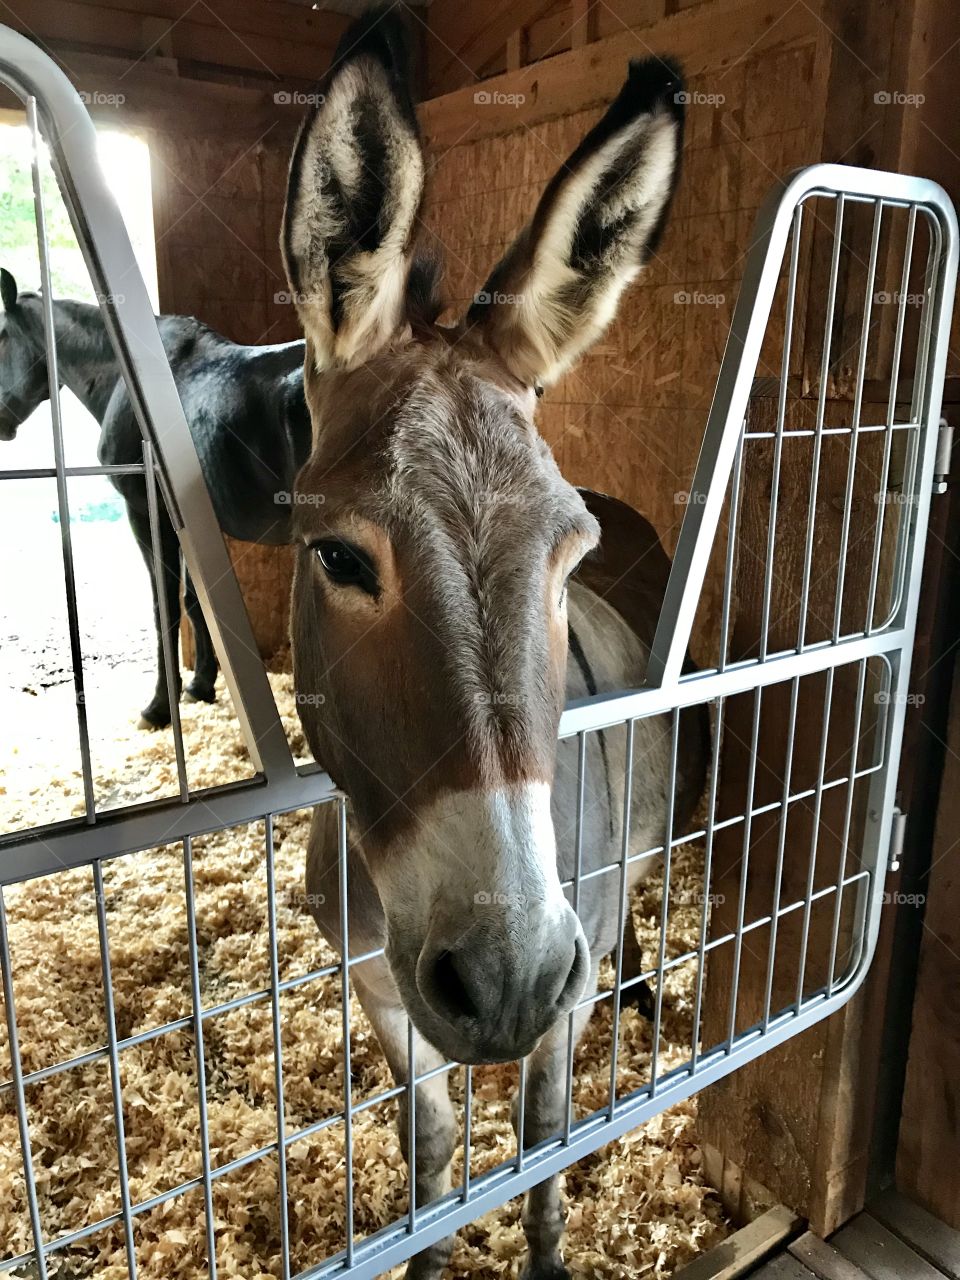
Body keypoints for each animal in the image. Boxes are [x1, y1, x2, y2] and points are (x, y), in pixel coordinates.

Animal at [0, 267, 309, 732]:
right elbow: (195, 601)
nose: (0, 421)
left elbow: (165, 606)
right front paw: (201, 685)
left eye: (0, 335)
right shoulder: (188, 526)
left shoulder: (145, 514)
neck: (119, 378)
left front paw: (160, 706)